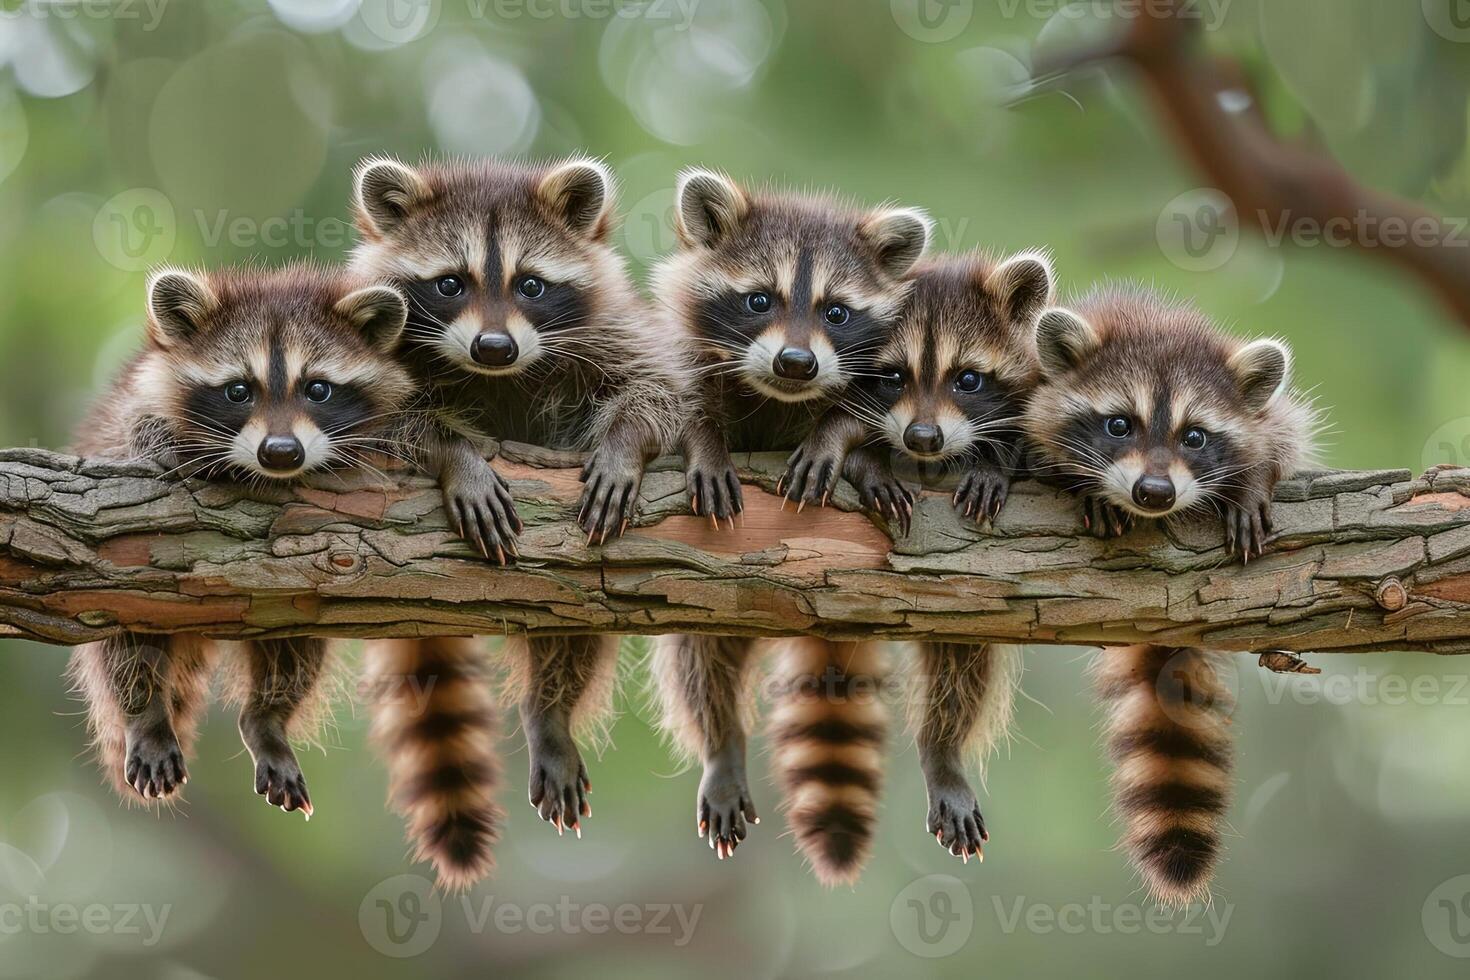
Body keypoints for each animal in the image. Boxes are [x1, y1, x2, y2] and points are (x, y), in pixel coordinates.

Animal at [68, 264, 414, 816]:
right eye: (237, 391)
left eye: (318, 389)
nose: (281, 452)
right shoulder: (124, 419)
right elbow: (142, 435)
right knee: (125, 646)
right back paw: (145, 711)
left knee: (295, 652)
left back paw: (267, 720)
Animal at [349, 155, 682, 887]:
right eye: (450, 283)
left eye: (531, 284)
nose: (495, 346)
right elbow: (392, 425)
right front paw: (457, 456)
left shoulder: (611, 327)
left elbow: (661, 392)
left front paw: (624, 443)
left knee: (574, 627)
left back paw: (548, 710)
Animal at [646, 168, 929, 881]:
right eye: (758, 300)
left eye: (837, 312)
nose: (796, 362)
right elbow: (686, 402)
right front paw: (705, 440)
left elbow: (859, 415)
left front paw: (847, 446)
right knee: (698, 661)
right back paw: (721, 742)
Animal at [787, 251, 1052, 858]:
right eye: (893, 377)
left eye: (968, 379)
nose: (922, 438)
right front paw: (865, 459)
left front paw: (993, 461)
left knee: (963, 664)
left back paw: (942, 746)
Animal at [1023, 287, 1323, 910]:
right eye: (1118, 424)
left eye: (1195, 437)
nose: (1154, 493)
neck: (1156, 321)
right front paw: (1082, 485)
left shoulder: (1271, 418)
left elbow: (1281, 439)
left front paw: (1251, 481)